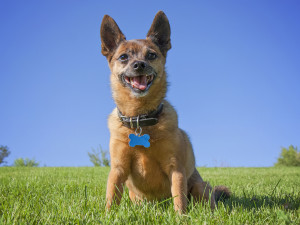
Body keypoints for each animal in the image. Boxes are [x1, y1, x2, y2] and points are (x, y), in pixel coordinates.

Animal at [100, 10, 230, 214]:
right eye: (123, 57)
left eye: (151, 55)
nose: (139, 64)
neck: (140, 119)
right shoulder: (118, 170)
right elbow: (111, 198)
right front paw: (107, 216)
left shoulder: (175, 168)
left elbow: (179, 199)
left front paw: (181, 217)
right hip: (134, 195)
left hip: (201, 187)